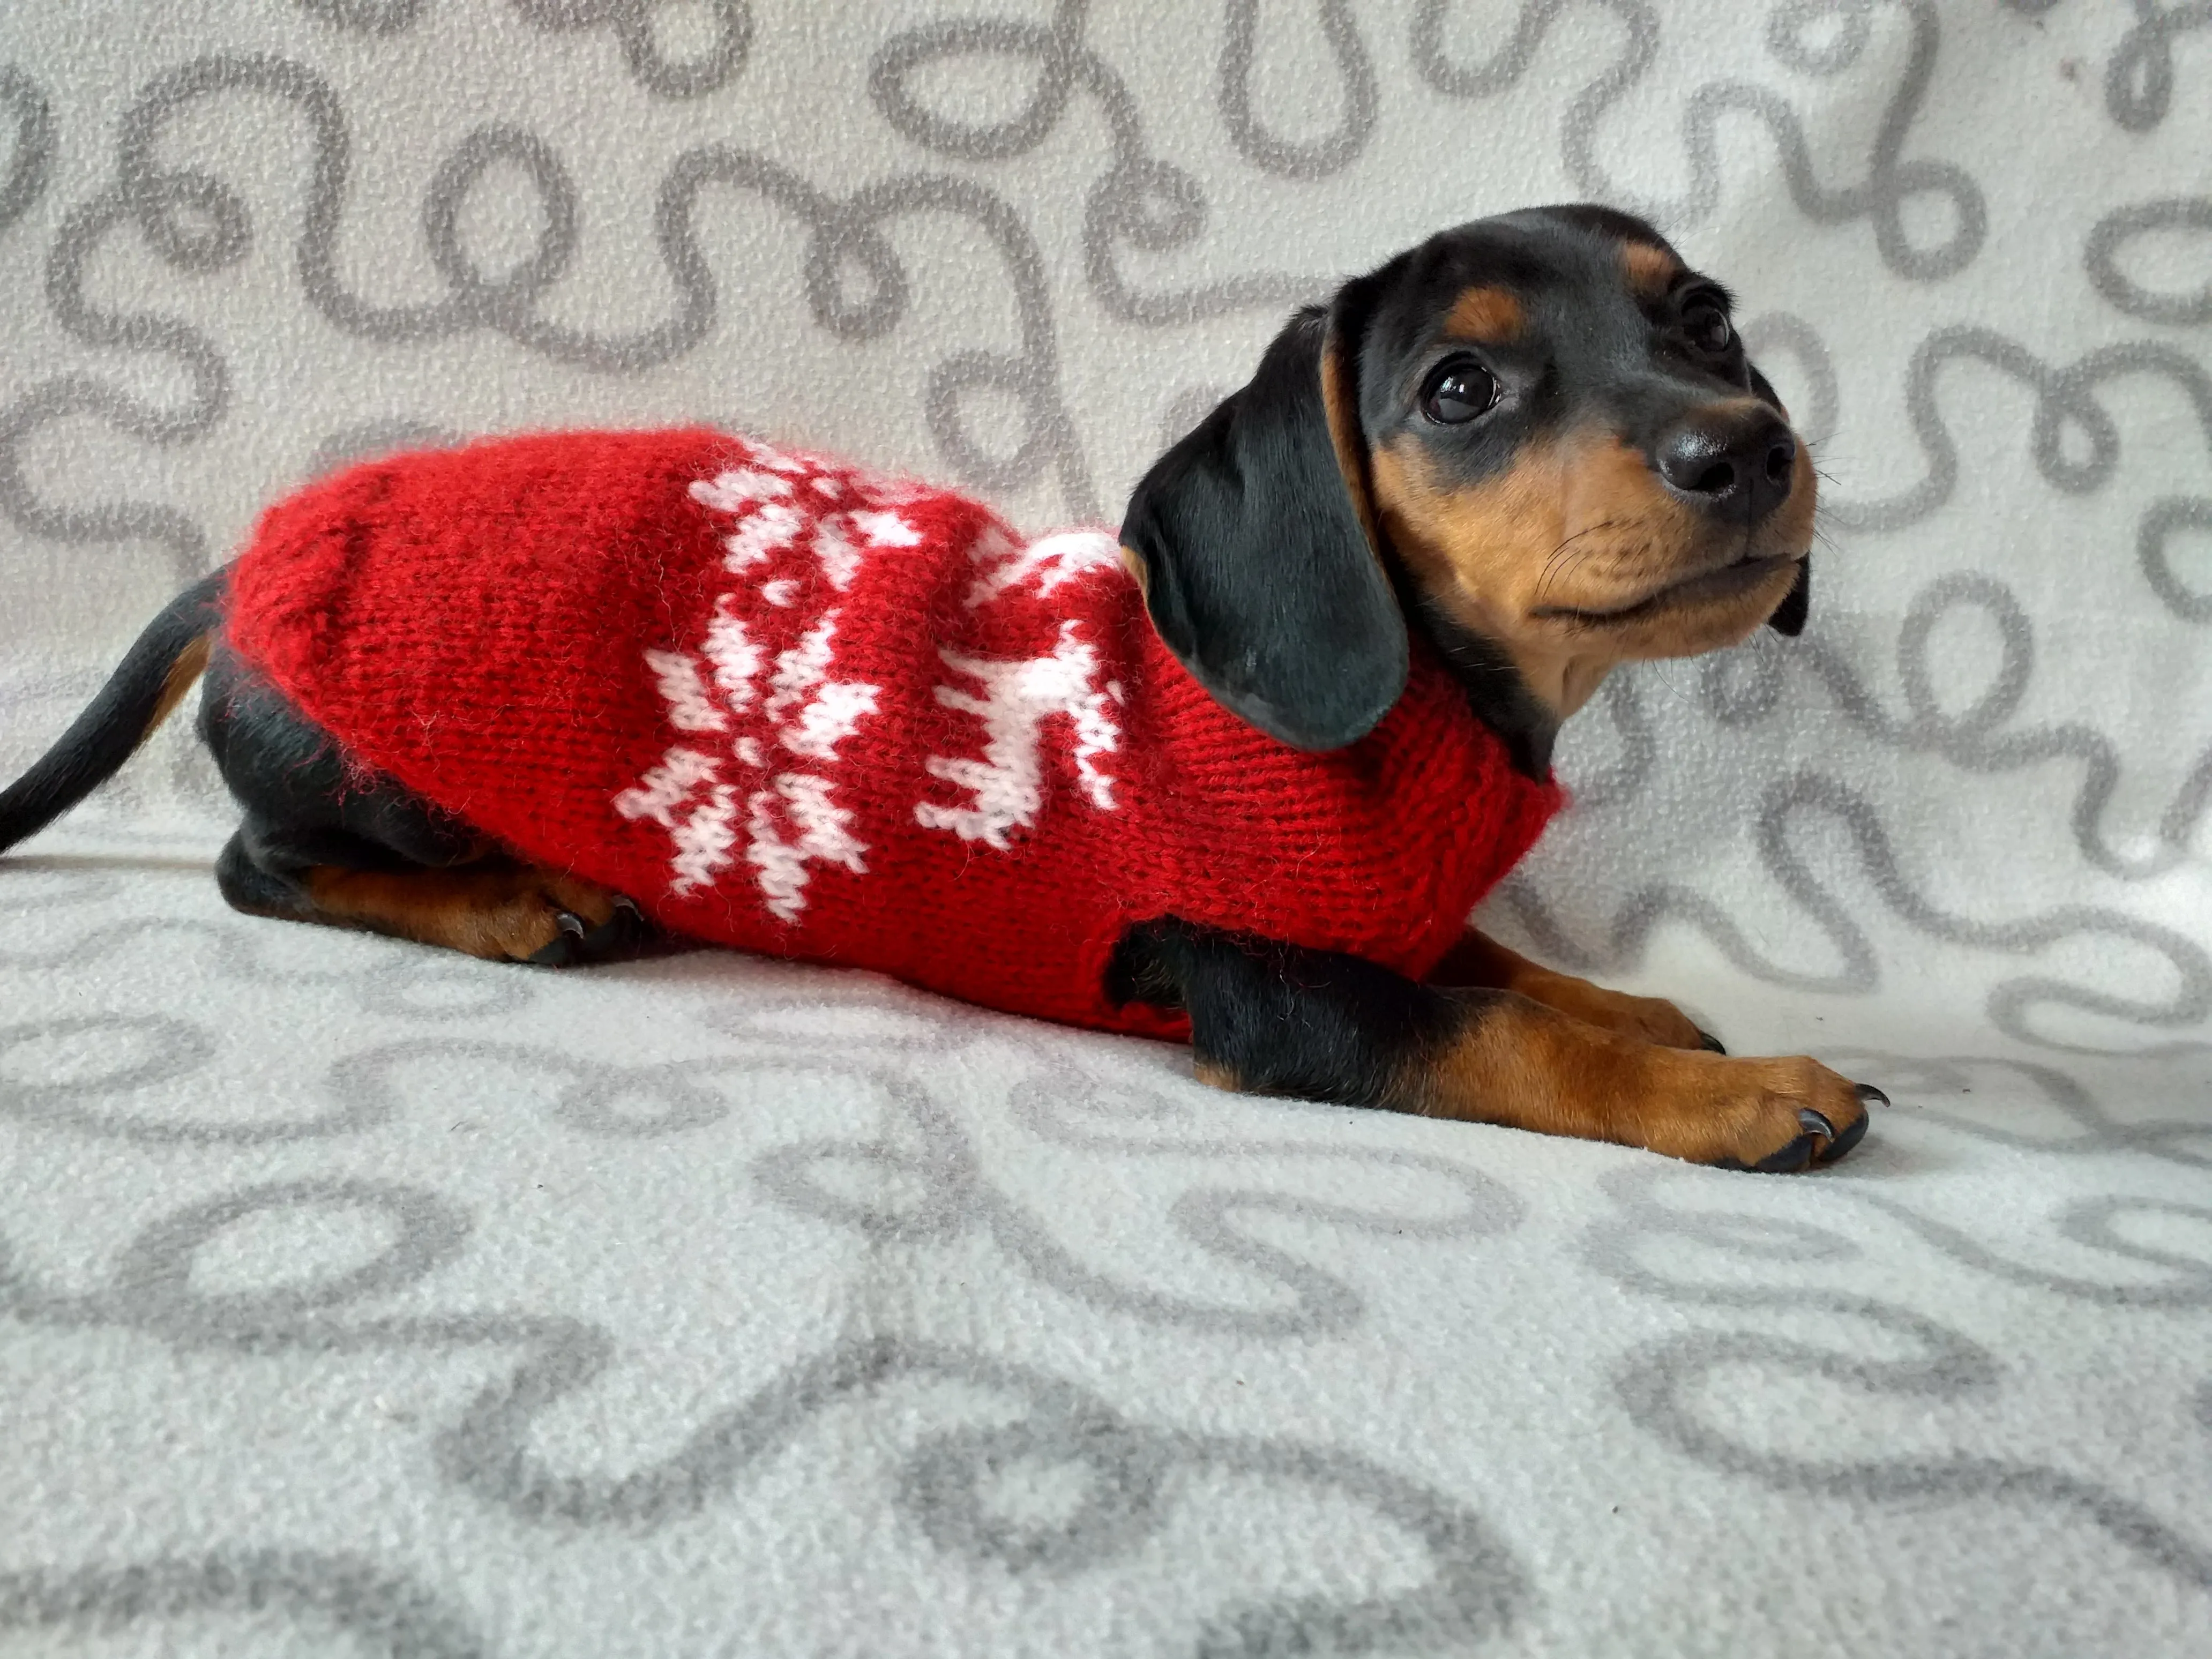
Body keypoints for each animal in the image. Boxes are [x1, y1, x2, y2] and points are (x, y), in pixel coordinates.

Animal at [0, 204, 1885, 1168]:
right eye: (1457, 388)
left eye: (1704, 320)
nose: (1746, 449)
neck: (1435, 723)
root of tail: (253, 563)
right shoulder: (1270, 988)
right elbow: (1490, 1028)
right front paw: (1731, 1093)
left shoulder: (1381, 912)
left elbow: (1501, 963)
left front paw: (1639, 1009)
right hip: (368, 770)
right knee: (260, 865)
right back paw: (519, 902)